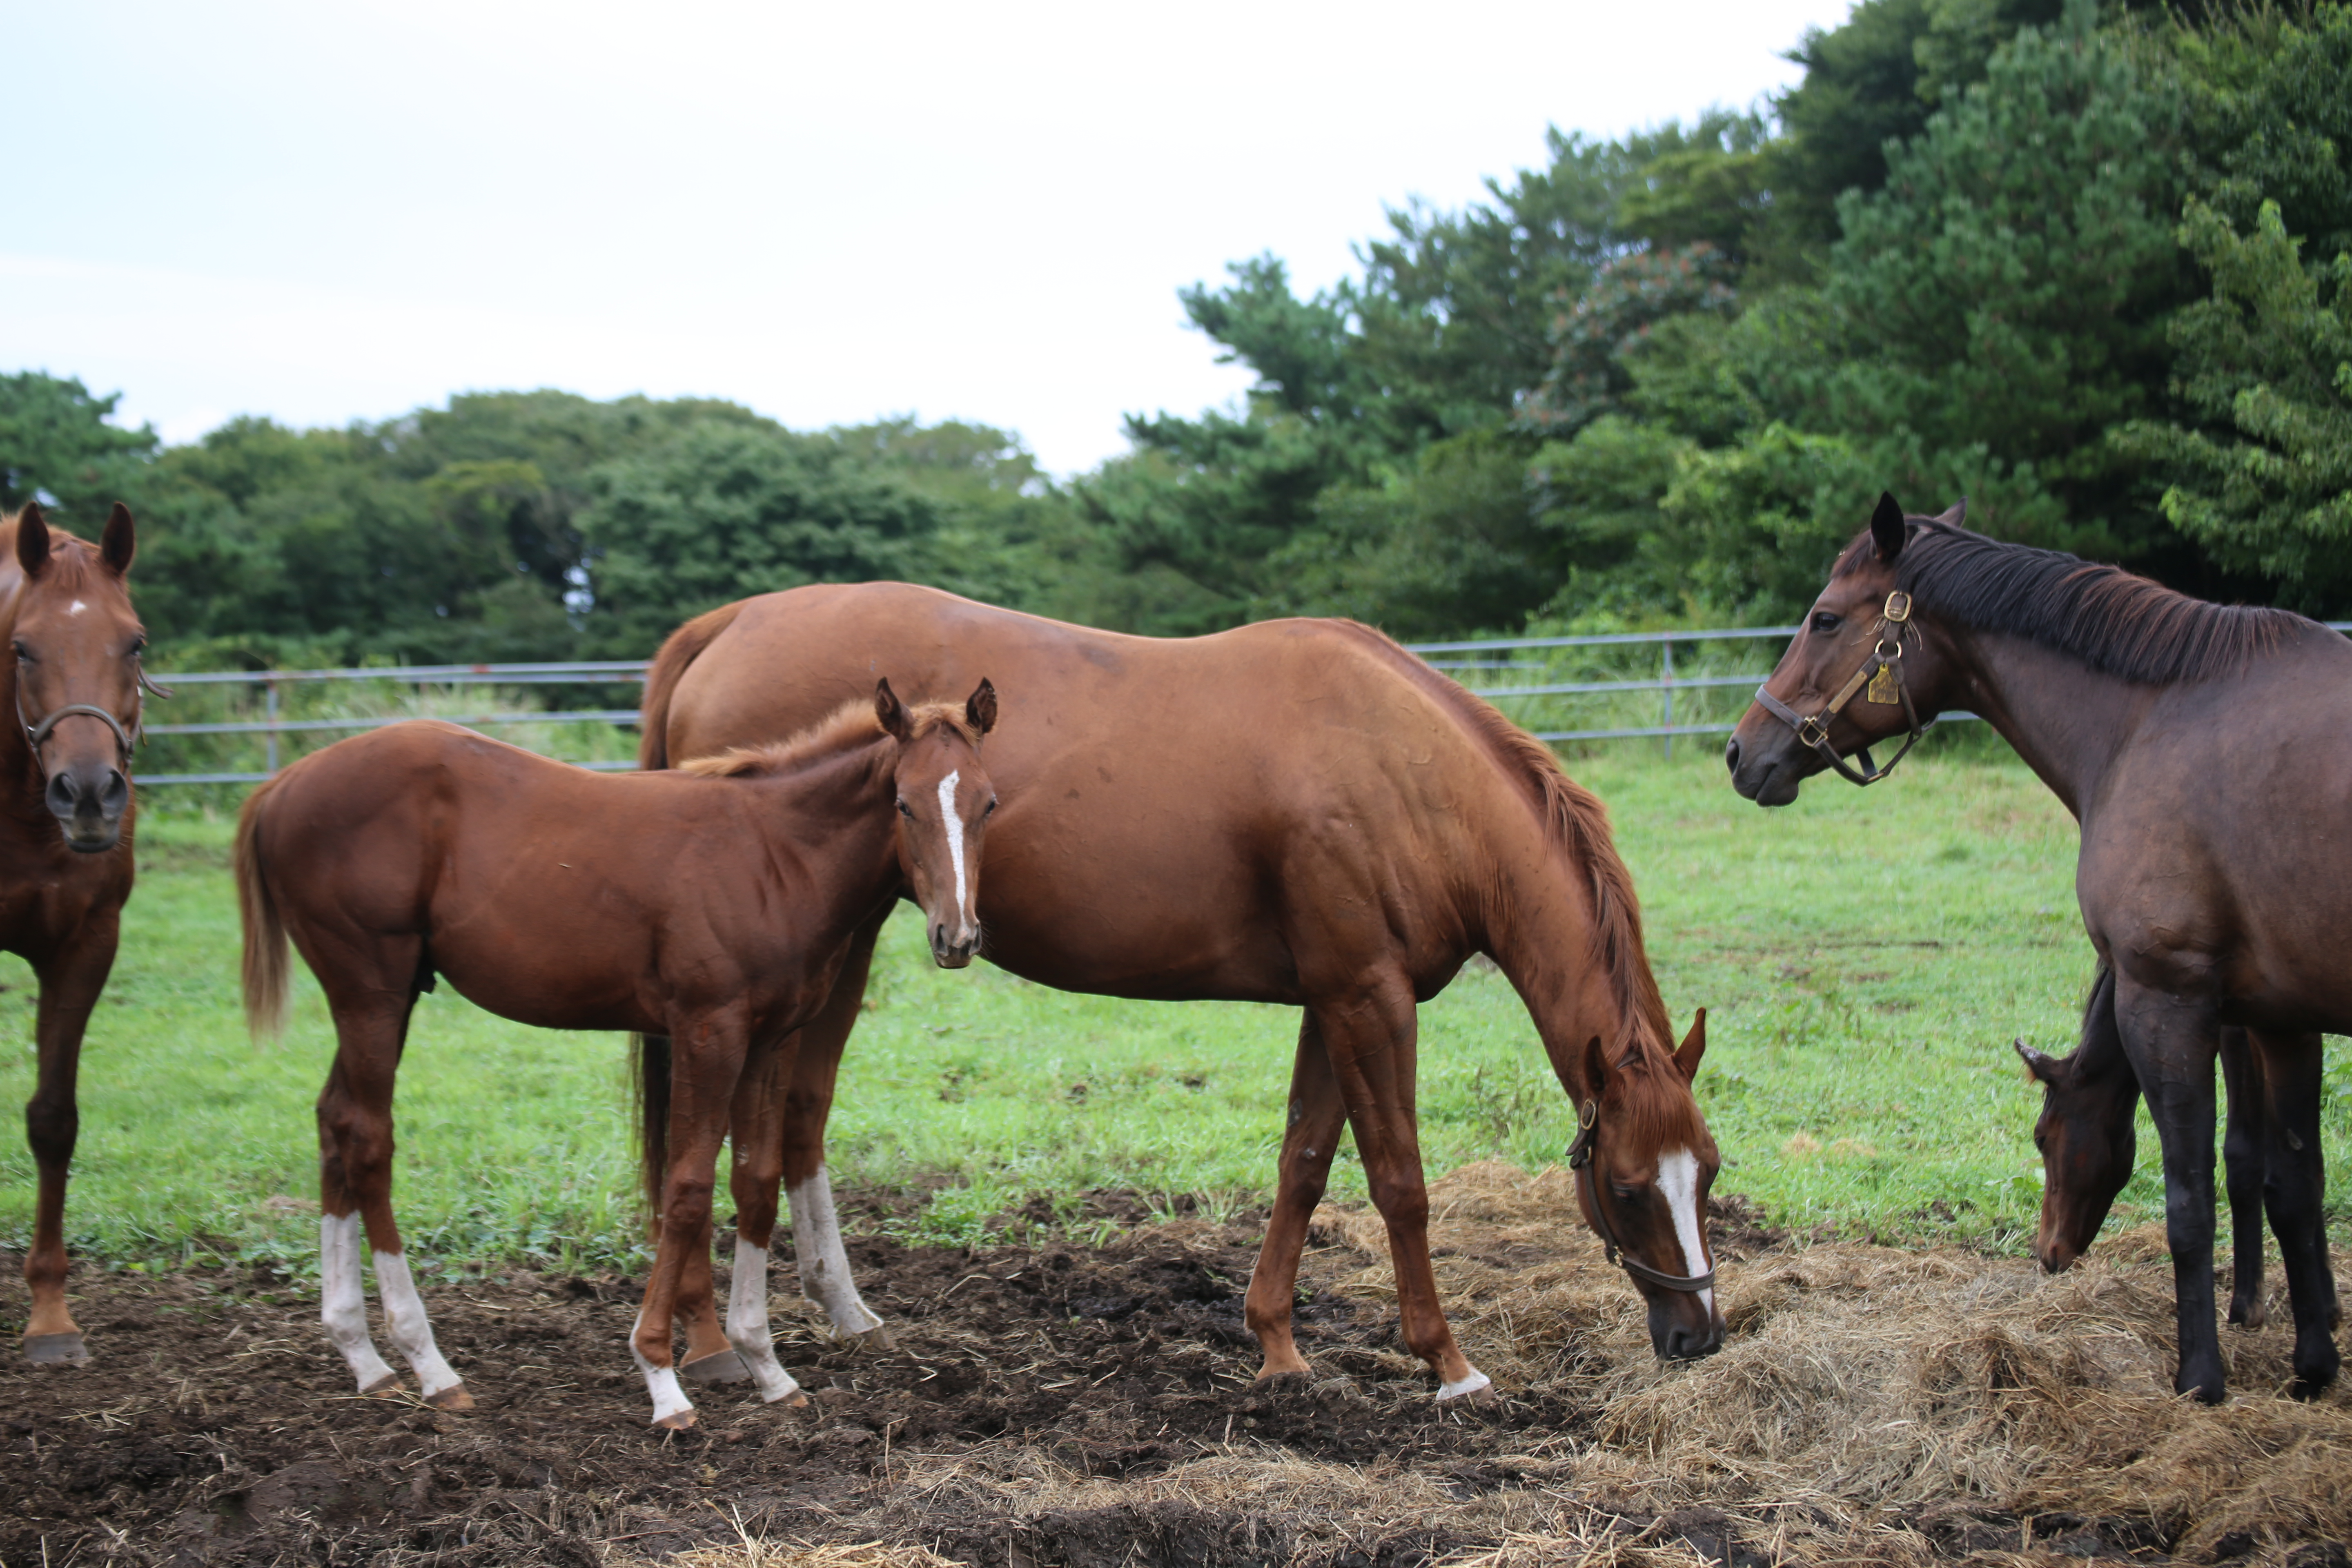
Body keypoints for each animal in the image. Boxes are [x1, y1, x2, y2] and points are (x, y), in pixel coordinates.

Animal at [238, 682, 1002, 1429]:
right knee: (369, 1140)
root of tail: (278, 788)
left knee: (336, 1122)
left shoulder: (771, 1040)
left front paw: (768, 1368)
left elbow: (755, 1185)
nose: (957, 937)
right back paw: (430, 1366)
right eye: (903, 803)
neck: (774, 853)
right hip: (371, 991)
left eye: (988, 803)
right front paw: (663, 1379)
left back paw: (364, 1358)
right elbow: (688, 1189)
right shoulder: (708, 1030)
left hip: (387, 998)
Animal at [635, 581, 1722, 1401]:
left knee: (798, 1119)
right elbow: (1399, 1182)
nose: (1700, 1333)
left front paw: (1276, 1343)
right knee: (725, 1133)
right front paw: (1447, 1363)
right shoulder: (1370, 1001)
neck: (1405, 769)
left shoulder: (1334, 999)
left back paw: (837, 1311)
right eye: (1627, 1187)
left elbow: (1304, 1163)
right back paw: (712, 1343)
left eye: (1707, 1174)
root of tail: (726, 624)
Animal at [1731, 496, 2352, 1401]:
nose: (1742, 750)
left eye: (1826, 619)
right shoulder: (2282, 1021)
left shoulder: (2168, 1003)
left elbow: (2191, 1196)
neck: (2150, 721)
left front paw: (2202, 1375)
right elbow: (2294, 1183)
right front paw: (2312, 1365)